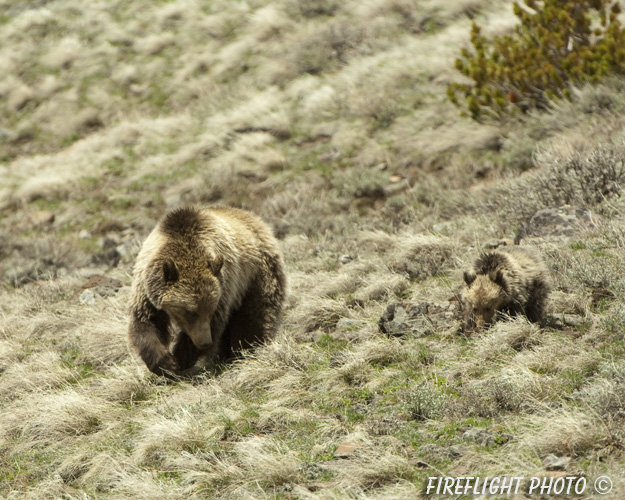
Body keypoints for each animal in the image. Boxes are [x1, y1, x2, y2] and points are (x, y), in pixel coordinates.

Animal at [129, 206, 286, 376]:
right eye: (190, 312)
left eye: (210, 311)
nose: (205, 342)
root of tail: (258, 221)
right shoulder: (146, 288)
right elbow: (146, 322)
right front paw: (165, 363)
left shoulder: (225, 285)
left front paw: (180, 360)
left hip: (256, 275)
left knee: (253, 315)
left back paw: (244, 349)